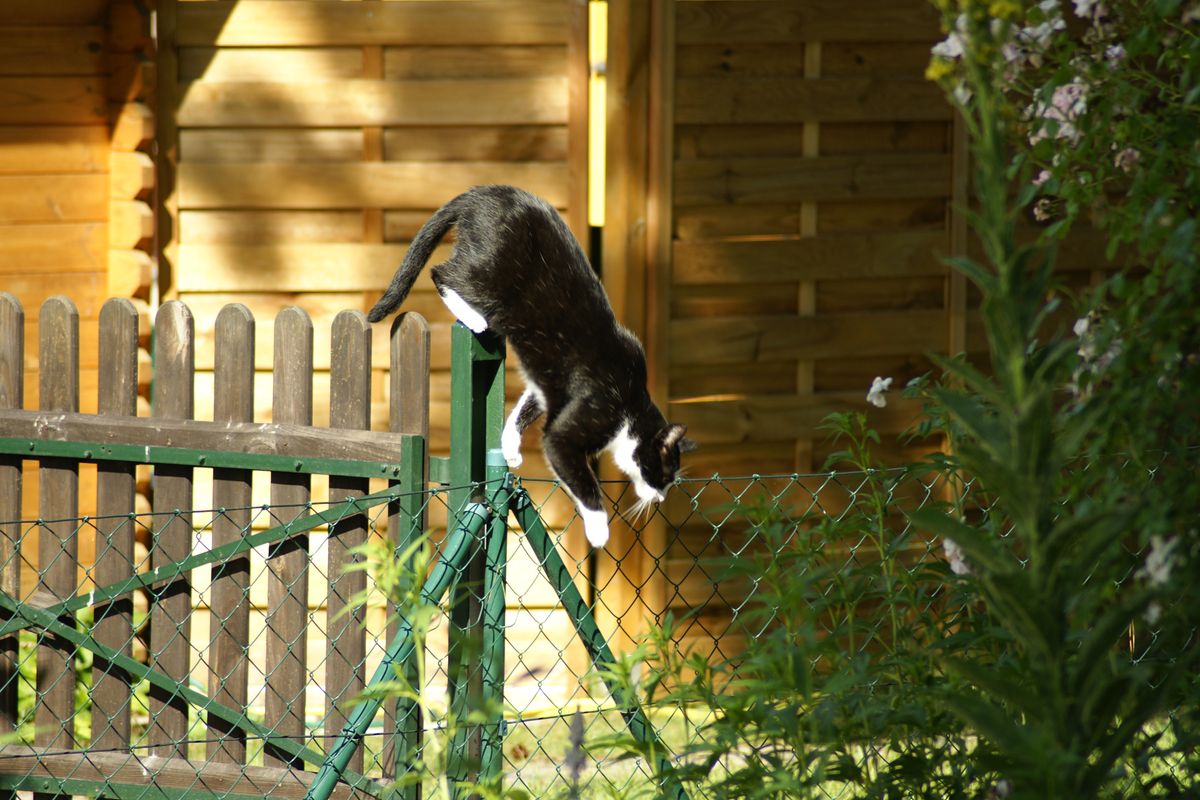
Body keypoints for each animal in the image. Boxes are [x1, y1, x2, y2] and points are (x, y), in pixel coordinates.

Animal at [364, 184, 696, 546]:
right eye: (664, 473)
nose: (660, 497)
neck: (630, 405)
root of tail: (485, 192)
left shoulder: (550, 387)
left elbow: (527, 404)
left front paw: (509, 446)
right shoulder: (579, 423)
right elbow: (579, 475)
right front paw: (598, 529)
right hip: (491, 273)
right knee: (442, 272)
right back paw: (474, 318)